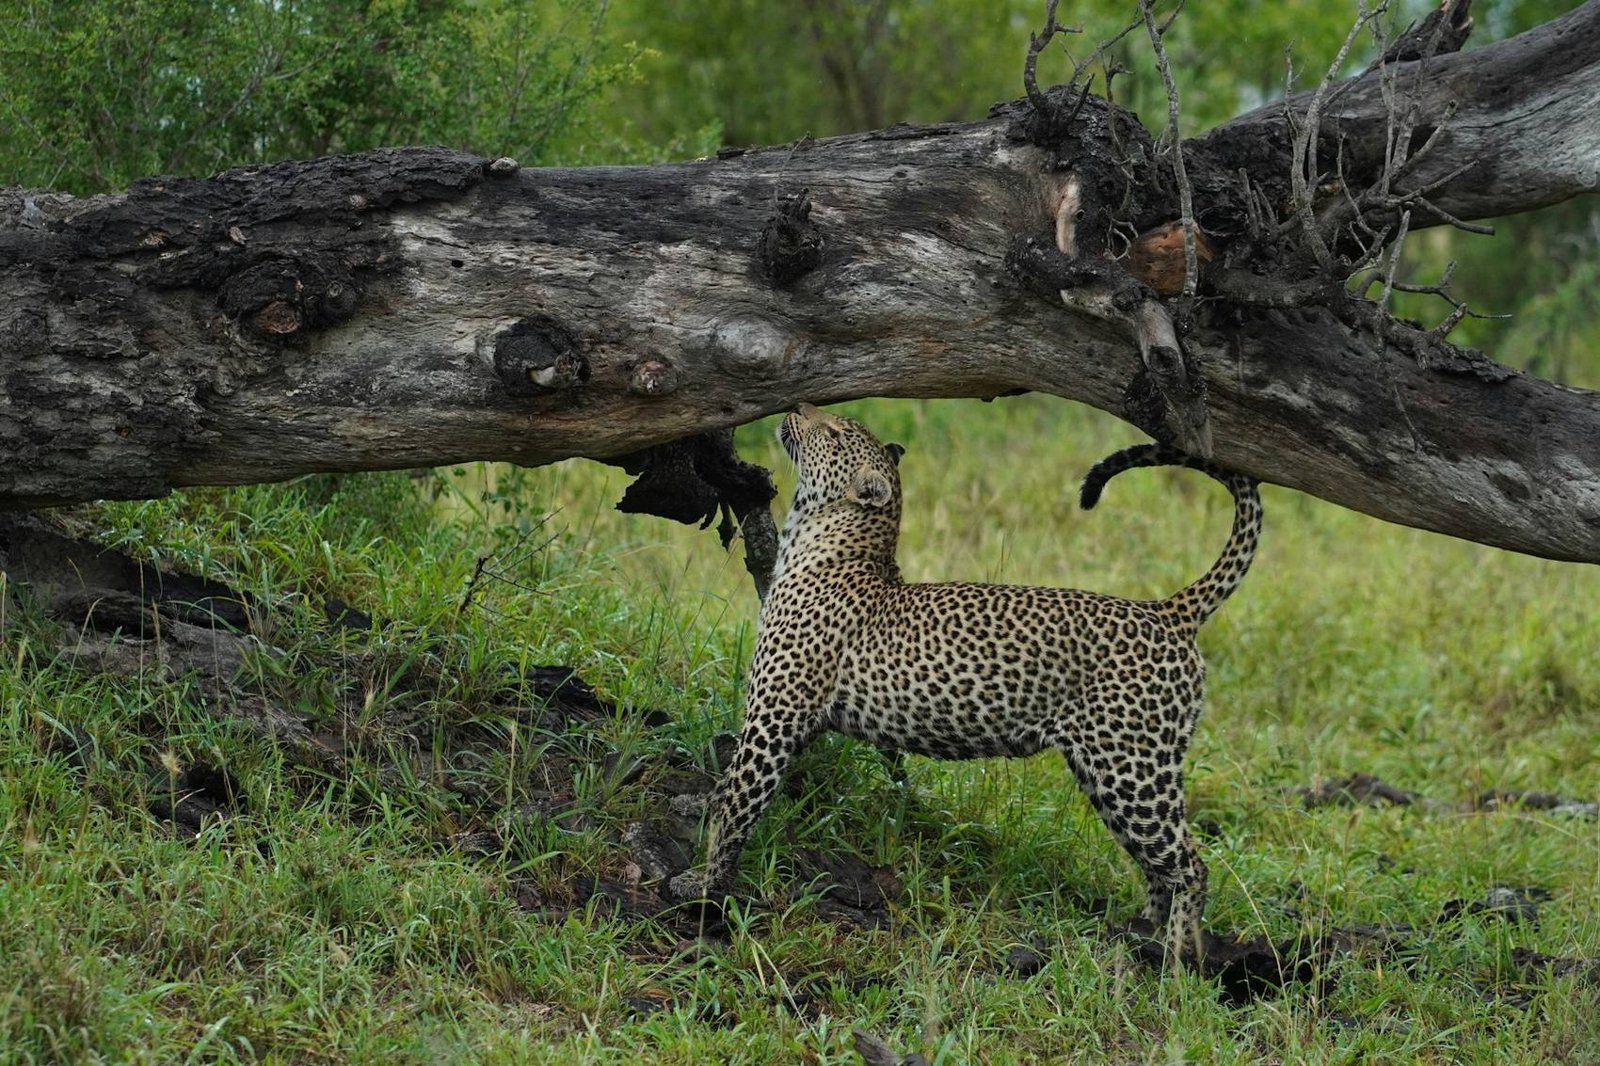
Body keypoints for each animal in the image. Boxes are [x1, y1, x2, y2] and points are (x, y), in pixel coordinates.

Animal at [669, 403, 1262, 964]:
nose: (796, 406)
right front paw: (695, 817)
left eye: (834, 432)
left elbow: (739, 805)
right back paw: (1141, 933)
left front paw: (703, 884)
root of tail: (1166, 611)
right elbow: (728, 788)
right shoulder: (792, 720)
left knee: (1191, 865)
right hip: (1109, 774)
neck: (815, 540)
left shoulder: (775, 719)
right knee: (1160, 864)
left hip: (1133, 768)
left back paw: (1176, 958)